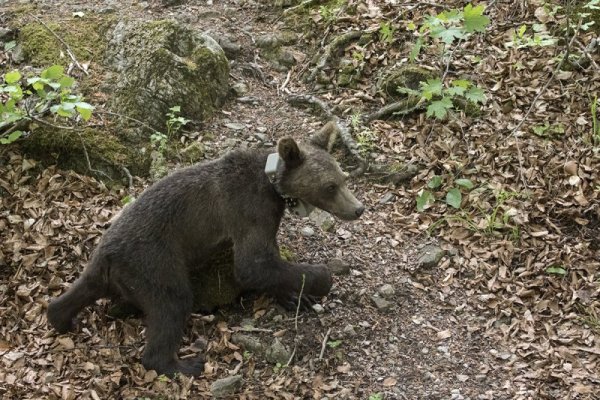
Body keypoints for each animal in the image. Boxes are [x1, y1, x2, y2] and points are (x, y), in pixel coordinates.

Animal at [47, 121, 364, 376]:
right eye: (330, 186)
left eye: (344, 179)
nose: (358, 209)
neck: (272, 185)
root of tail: (106, 253)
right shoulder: (248, 211)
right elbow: (253, 265)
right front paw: (321, 278)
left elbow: (268, 265)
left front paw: (297, 296)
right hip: (154, 260)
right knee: (172, 302)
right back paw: (184, 364)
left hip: (110, 271)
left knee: (78, 292)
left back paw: (62, 316)